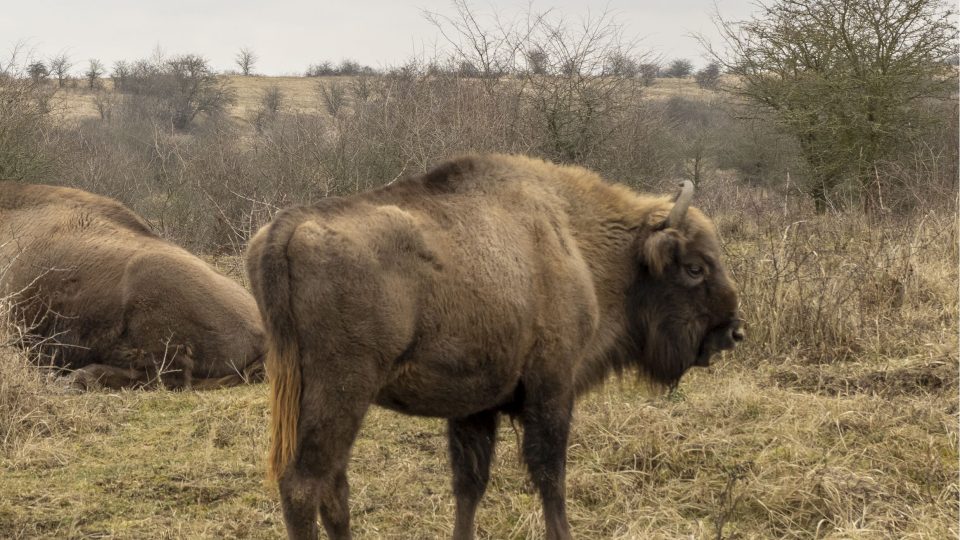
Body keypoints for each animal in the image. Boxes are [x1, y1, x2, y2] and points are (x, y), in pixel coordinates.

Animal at [248, 153, 744, 540]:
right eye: (695, 267)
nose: (733, 333)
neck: (574, 242)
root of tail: (285, 229)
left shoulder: (474, 407)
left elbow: (470, 484)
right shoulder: (552, 388)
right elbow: (550, 475)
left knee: (333, 486)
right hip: (342, 390)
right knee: (303, 485)